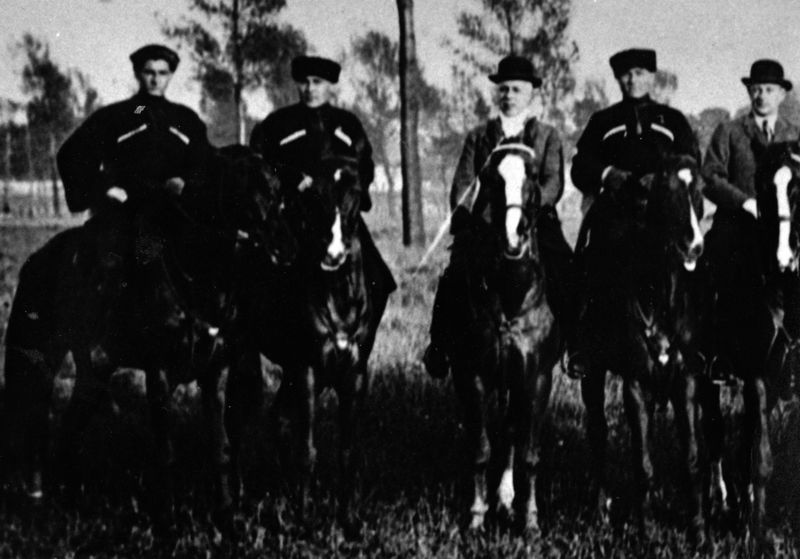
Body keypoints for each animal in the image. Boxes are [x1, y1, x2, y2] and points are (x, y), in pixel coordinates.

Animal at [2, 145, 294, 529]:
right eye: (238, 186)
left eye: (276, 188)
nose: (283, 247)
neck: (200, 274)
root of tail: (34, 262)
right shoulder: (159, 375)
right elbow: (166, 451)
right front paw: (169, 519)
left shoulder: (214, 375)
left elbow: (221, 448)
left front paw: (227, 513)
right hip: (38, 366)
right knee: (35, 427)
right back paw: (38, 504)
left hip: (94, 375)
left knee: (66, 433)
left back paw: (65, 502)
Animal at [435, 142, 559, 536]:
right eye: (490, 179)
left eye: (533, 175)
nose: (513, 234)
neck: (510, 294)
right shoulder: (471, 376)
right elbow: (480, 449)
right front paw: (476, 516)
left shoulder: (537, 379)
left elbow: (528, 454)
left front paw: (530, 519)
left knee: (511, 436)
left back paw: (508, 499)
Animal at [574, 154, 709, 543]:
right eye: (666, 191)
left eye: (700, 189)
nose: (694, 245)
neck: (659, 296)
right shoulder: (635, 383)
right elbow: (642, 462)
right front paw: (643, 530)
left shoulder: (686, 381)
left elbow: (692, 458)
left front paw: (698, 530)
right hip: (592, 374)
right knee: (599, 435)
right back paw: (600, 511)